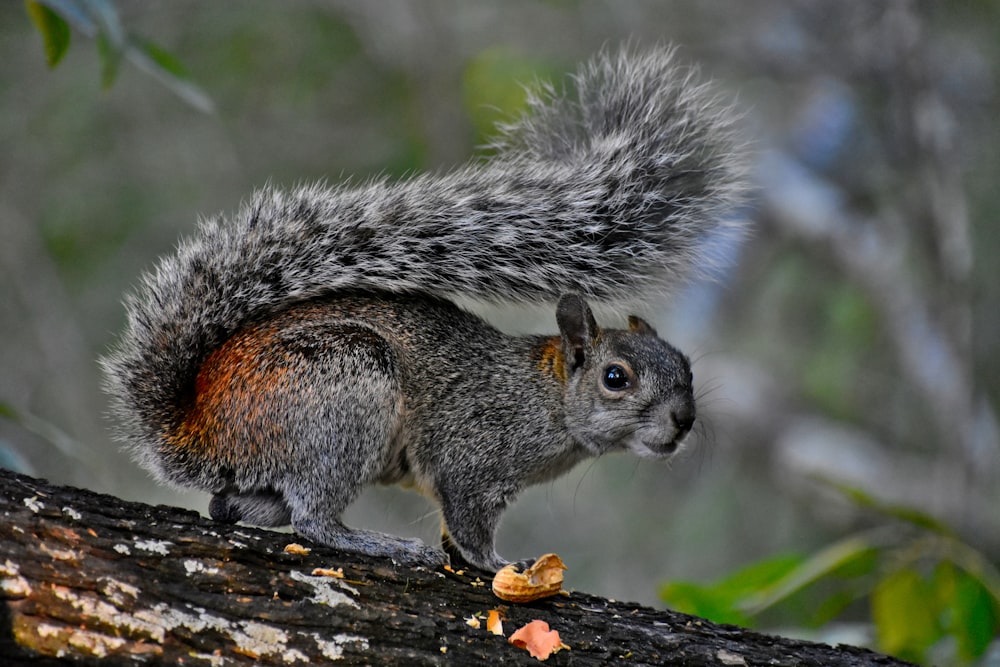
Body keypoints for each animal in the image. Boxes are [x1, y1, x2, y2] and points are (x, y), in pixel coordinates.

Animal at [101, 47, 748, 572]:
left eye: (686, 367)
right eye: (616, 377)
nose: (683, 419)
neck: (544, 397)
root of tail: (199, 429)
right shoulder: (472, 458)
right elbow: (469, 525)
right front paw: (501, 565)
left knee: (230, 505)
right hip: (341, 390)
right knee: (313, 518)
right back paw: (374, 542)